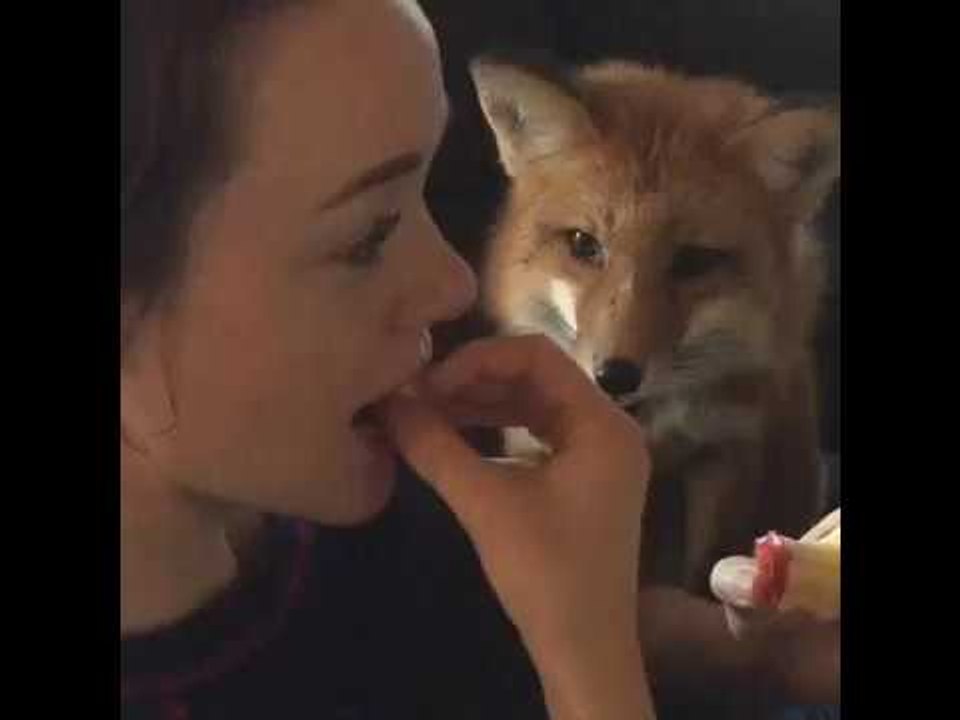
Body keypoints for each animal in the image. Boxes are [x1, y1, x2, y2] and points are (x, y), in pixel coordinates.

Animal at [469, 54, 839, 714]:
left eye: (694, 261)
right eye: (583, 245)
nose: (614, 375)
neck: (648, 433)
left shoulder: (724, 453)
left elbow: (699, 567)